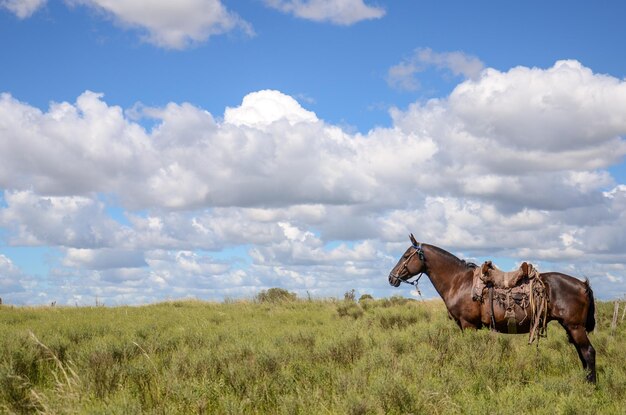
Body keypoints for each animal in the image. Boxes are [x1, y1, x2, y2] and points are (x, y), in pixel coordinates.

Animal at [386, 236, 596, 386]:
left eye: (406, 256)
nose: (391, 277)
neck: (459, 282)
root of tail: (583, 285)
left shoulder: (468, 325)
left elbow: (470, 352)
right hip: (570, 327)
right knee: (581, 353)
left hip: (575, 327)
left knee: (588, 352)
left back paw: (591, 386)